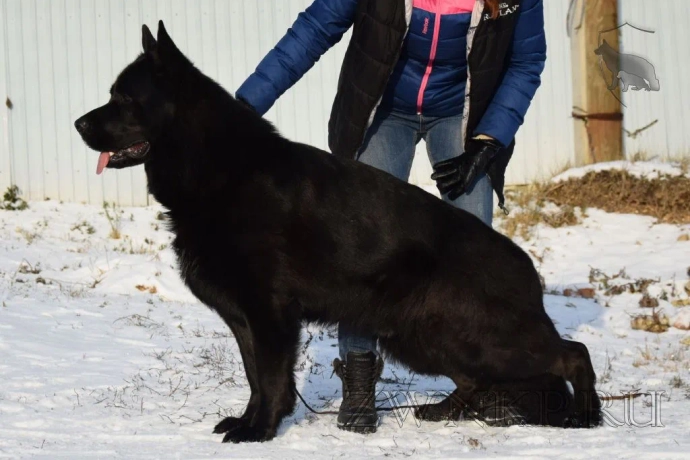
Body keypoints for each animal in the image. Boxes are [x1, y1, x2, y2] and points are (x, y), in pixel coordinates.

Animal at [74, 20, 596, 442]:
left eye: (123, 98)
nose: (77, 124)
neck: (217, 166)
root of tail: (526, 267)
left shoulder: (271, 314)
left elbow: (270, 378)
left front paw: (260, 431)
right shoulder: (246, 319)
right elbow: (254, 376)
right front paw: (248, 421)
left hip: (483, 340)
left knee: (572, 353)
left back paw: (587, 416)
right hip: (430, 339)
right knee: (475, 378)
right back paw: (444, 412)